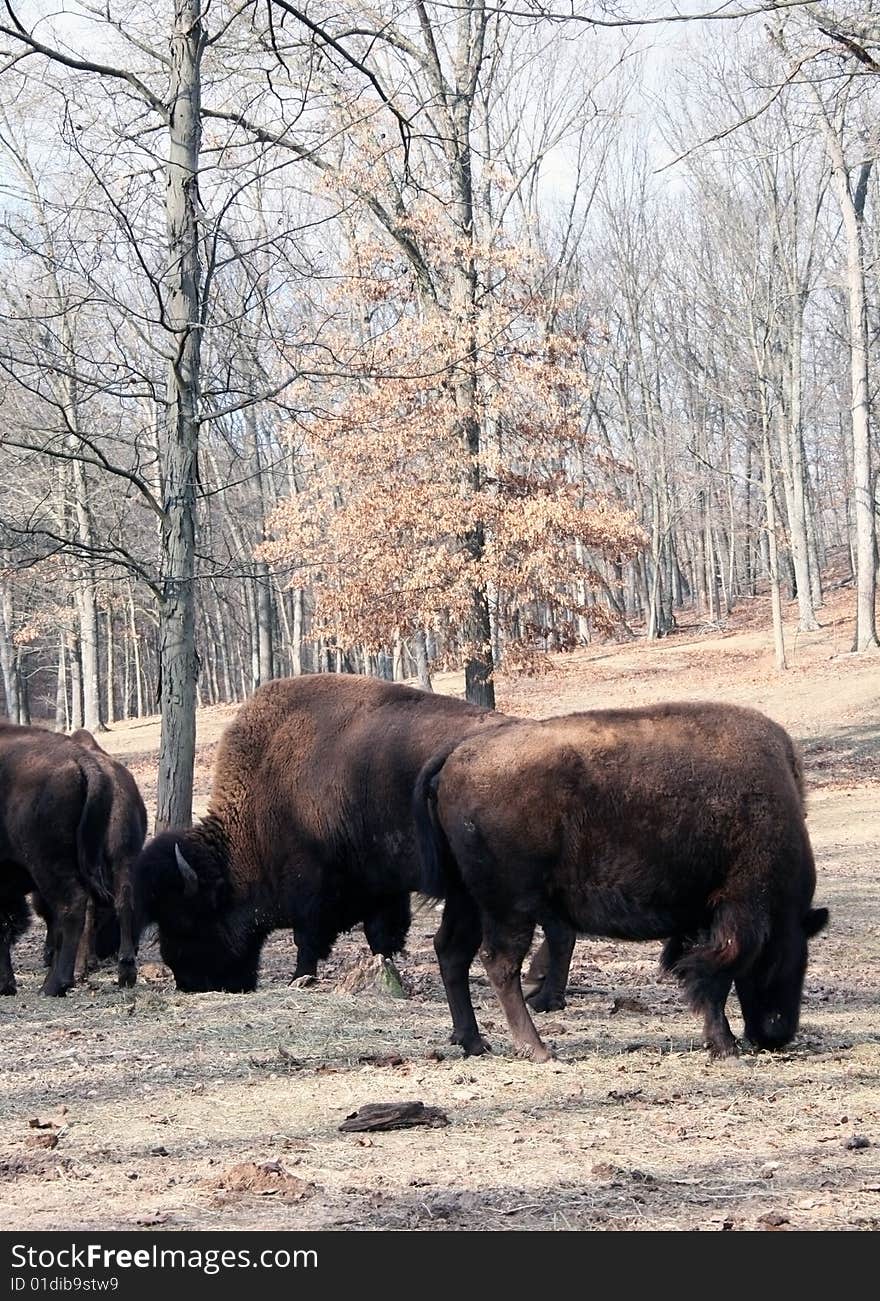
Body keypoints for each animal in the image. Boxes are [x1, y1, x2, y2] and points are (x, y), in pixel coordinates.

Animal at [416, 707, 827, 1061]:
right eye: (787, 957)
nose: (776, 1035)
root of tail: (455, 758)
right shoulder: (736, 912)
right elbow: (714, 978)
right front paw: (725, 1046)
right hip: (510, 905)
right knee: (500, 963)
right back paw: (538, 1049)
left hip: (466, 898)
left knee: (453, 952)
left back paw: (474, 1042)